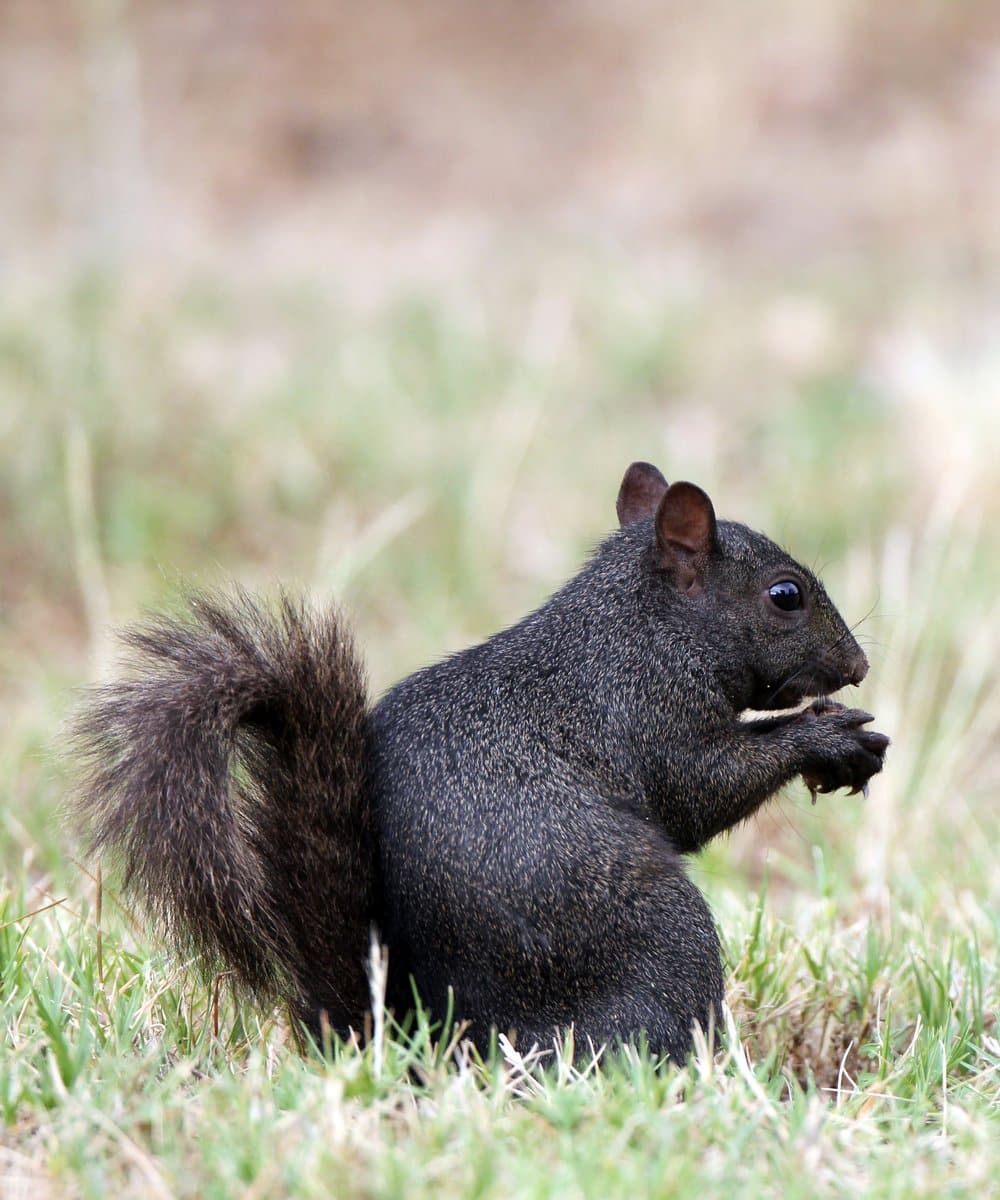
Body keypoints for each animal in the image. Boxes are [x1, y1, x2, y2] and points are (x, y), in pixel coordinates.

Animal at [76, 458, 888, 1060]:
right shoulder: (646, 712)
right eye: (785, 595)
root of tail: (423, 1038)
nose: (859, 665)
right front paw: (826, 738)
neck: (642, 626)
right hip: (657, 939)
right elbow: (700, 791)